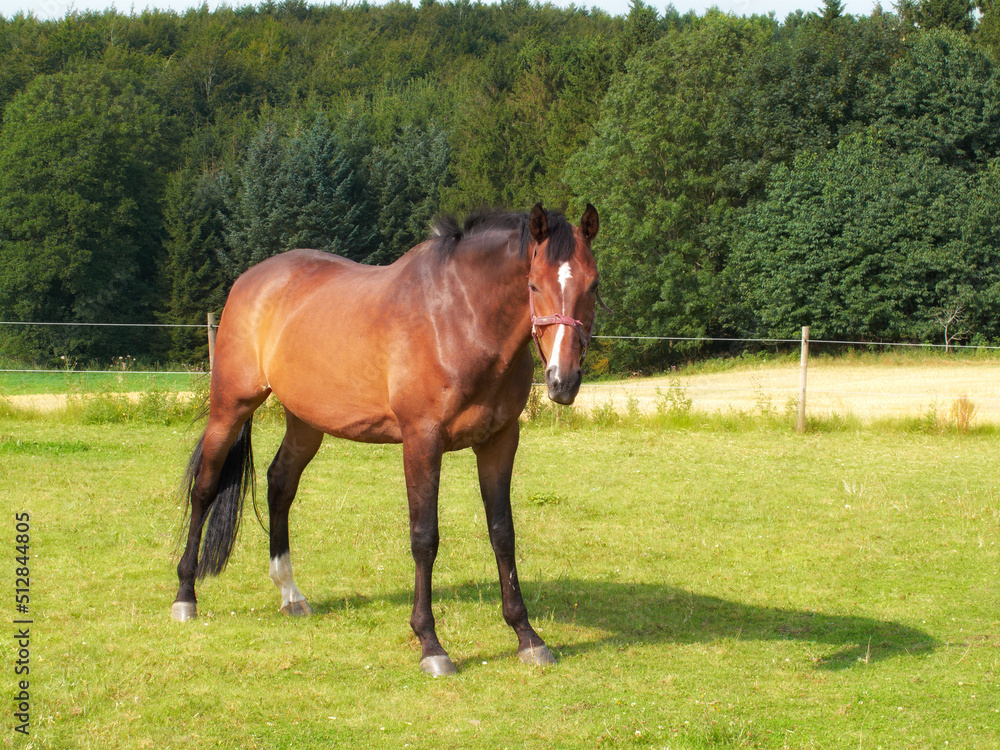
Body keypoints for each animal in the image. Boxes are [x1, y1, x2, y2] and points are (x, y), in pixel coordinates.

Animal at [172, 203, 596, 680]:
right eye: (533, 284)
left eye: (593, 285)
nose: (563, 381)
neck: (460, 318)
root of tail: (251, 280)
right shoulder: (421, 441)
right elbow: (424, 538)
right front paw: (430, 644)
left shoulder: (499, 441)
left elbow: (503, 534)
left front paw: (527, 636)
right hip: (230, 408)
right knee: (204, 488)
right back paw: (185, 595)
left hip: (305, 422)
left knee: (280, 483)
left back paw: (290, 593)